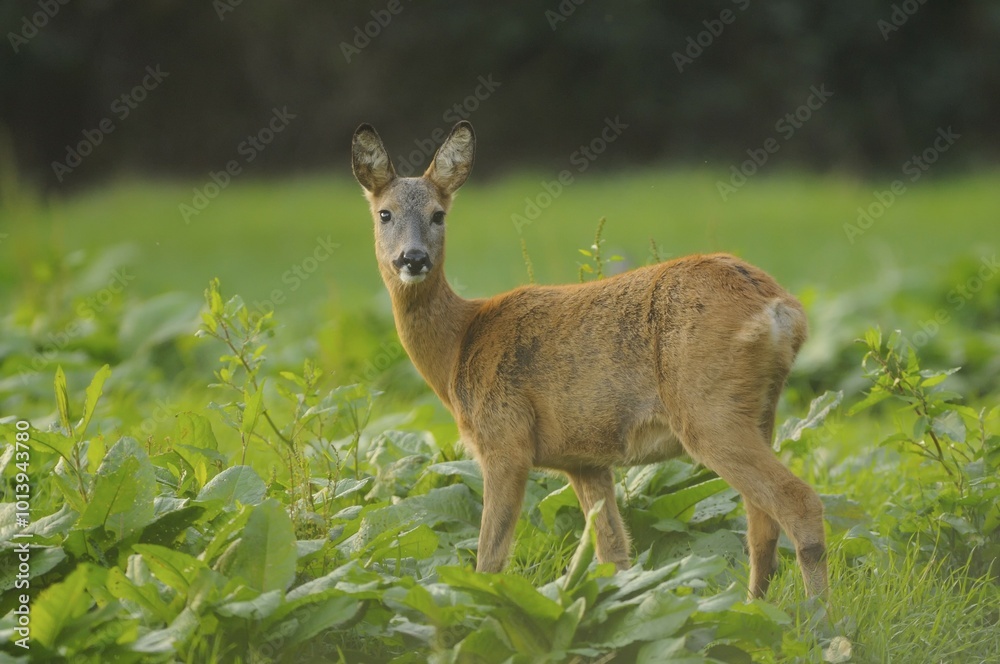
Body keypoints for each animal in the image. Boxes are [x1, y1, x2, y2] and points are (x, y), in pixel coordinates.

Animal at [351, 120, 827, 599]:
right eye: (385, 214)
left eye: (439, 215)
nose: (413, 258)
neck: (460, 342)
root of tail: (781, 308)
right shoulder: (584, 460)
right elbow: (614, 554)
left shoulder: (505, 441)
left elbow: (489, 559)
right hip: (760, 410)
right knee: (761, 522)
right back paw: (754, 608)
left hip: (708, 410)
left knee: (798, 501)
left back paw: (818, 617)